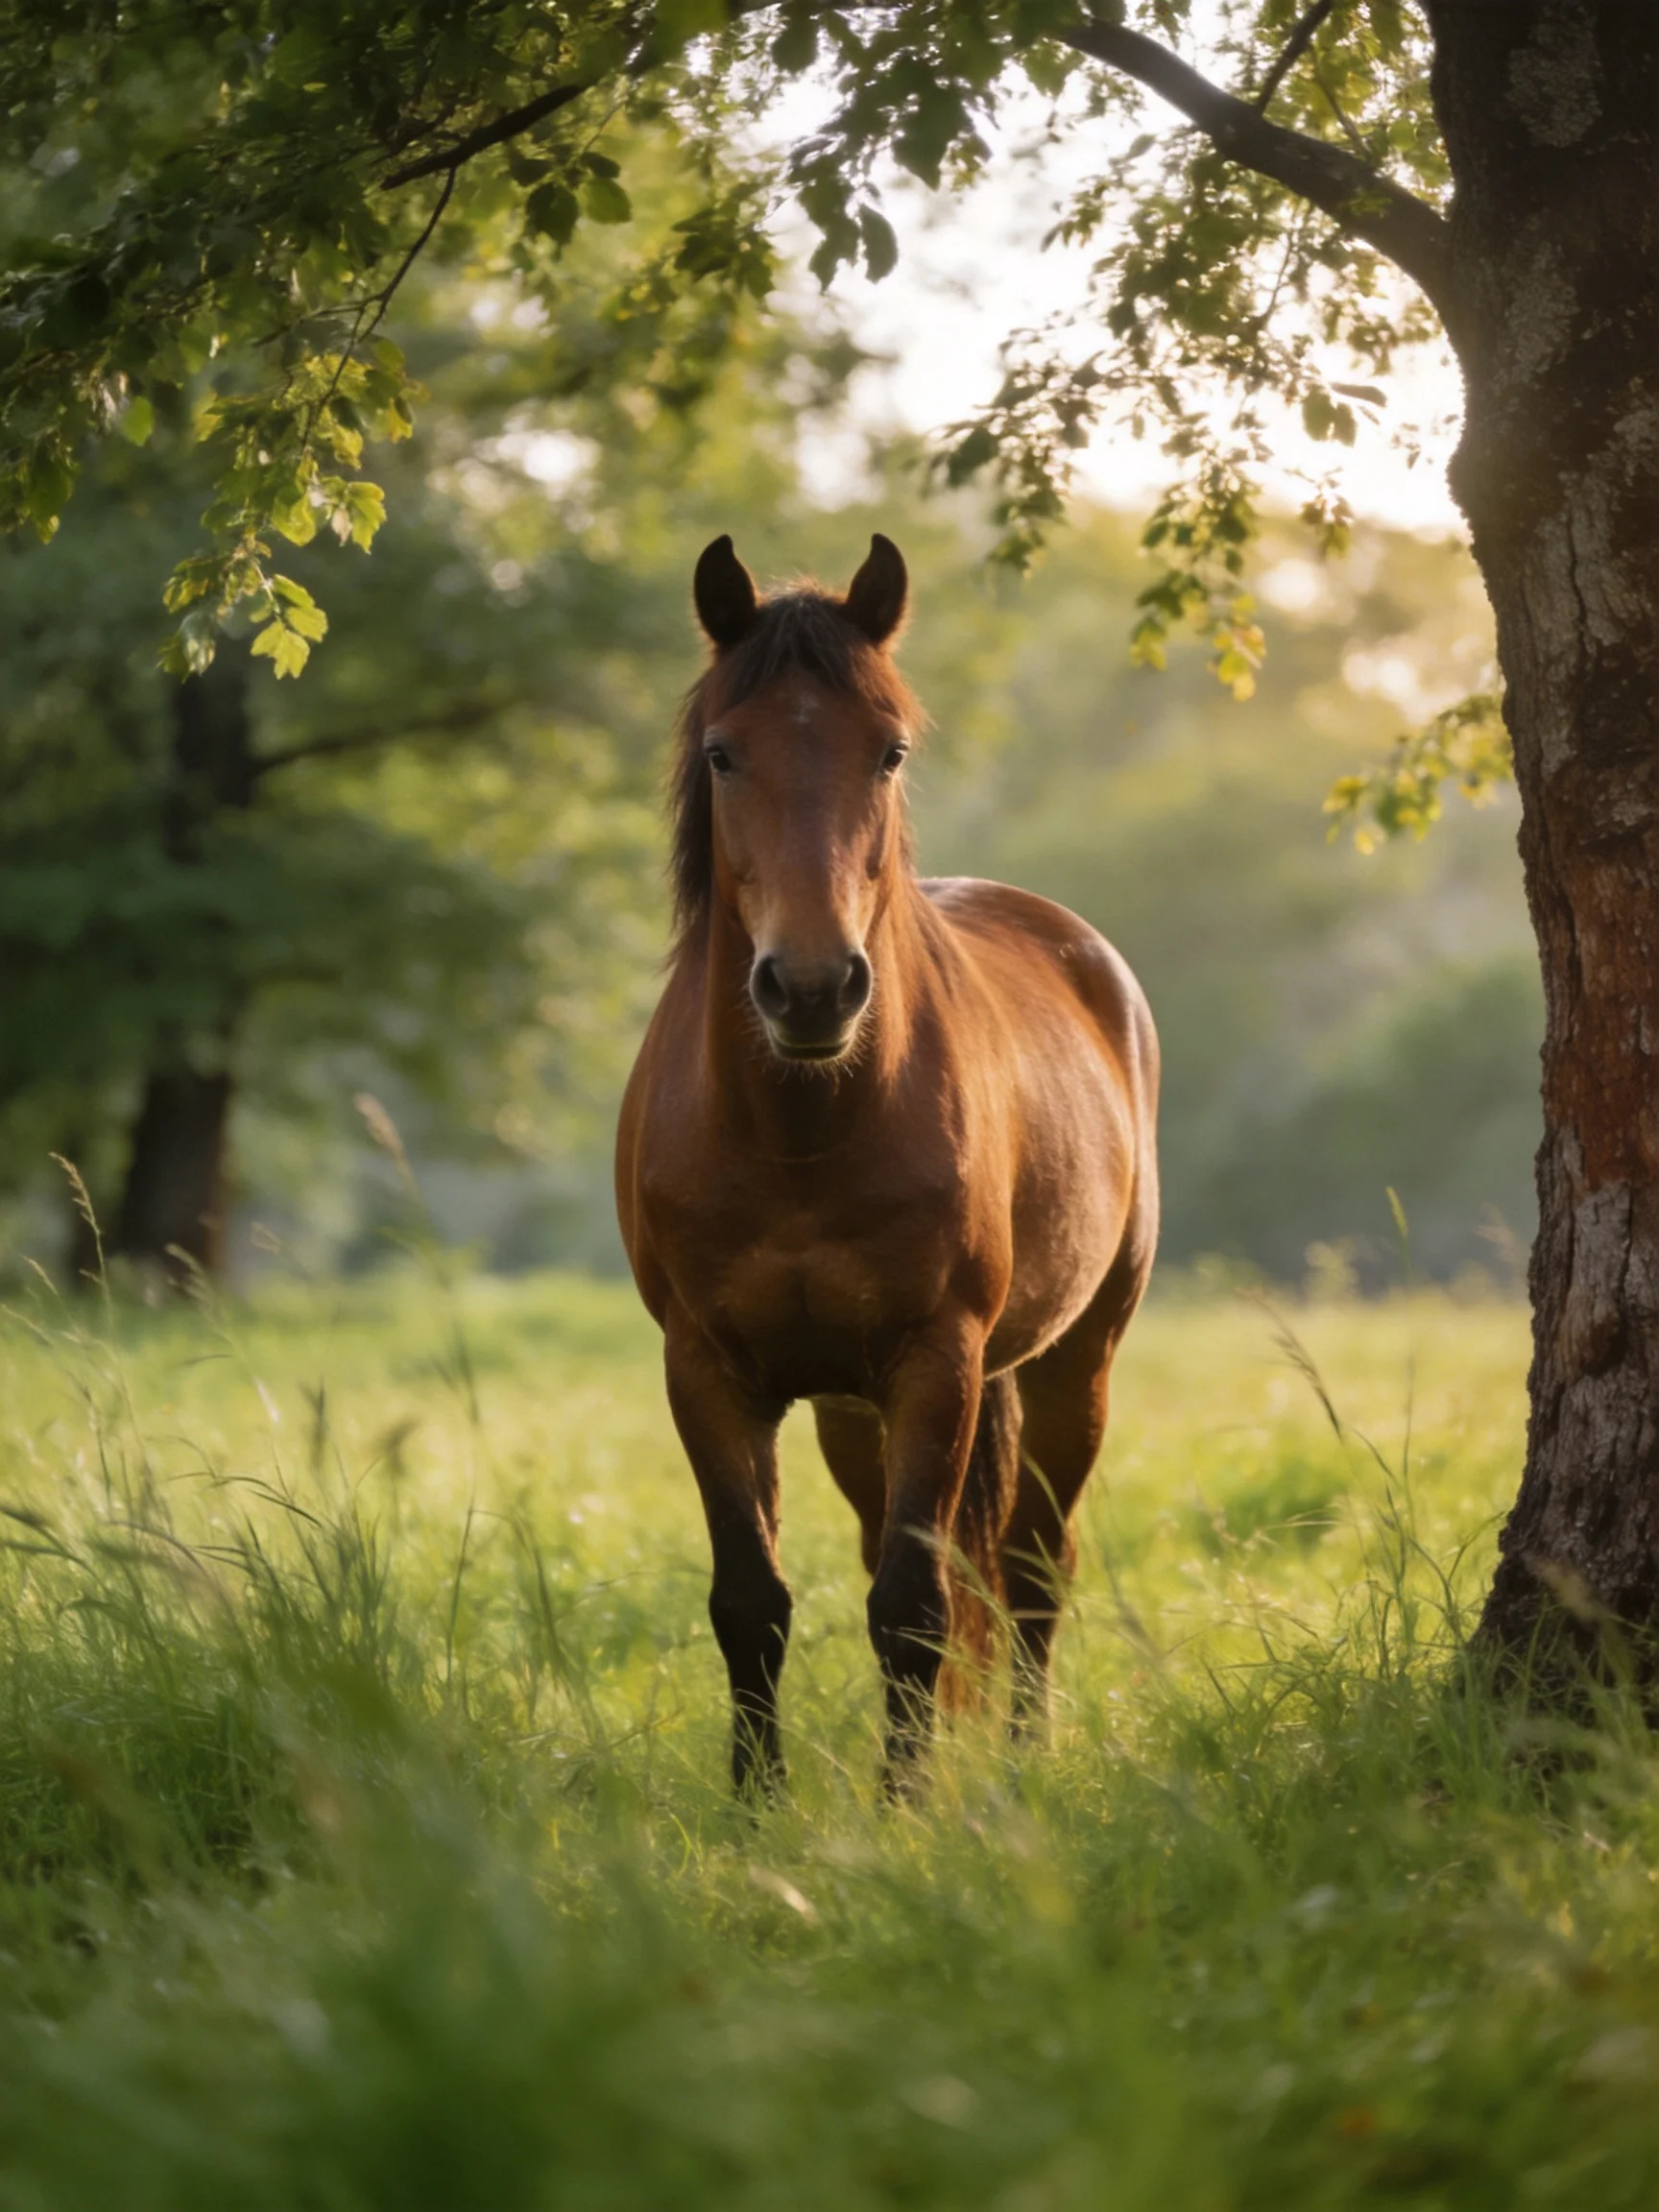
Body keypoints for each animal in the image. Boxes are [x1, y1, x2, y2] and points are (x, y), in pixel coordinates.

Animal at [615, 532, 1159, 1795]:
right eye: (723, 753)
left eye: (890, 750)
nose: (813, 988)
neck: (797, 1134)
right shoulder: (706, 1373)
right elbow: (752, 1601)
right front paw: (754, 1806)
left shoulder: (936, 1364)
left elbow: (913, 1604)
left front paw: (907, 1804)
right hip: (846, 1407)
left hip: (1076, 1361)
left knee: (1031, 1567)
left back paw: (1019, 1759)